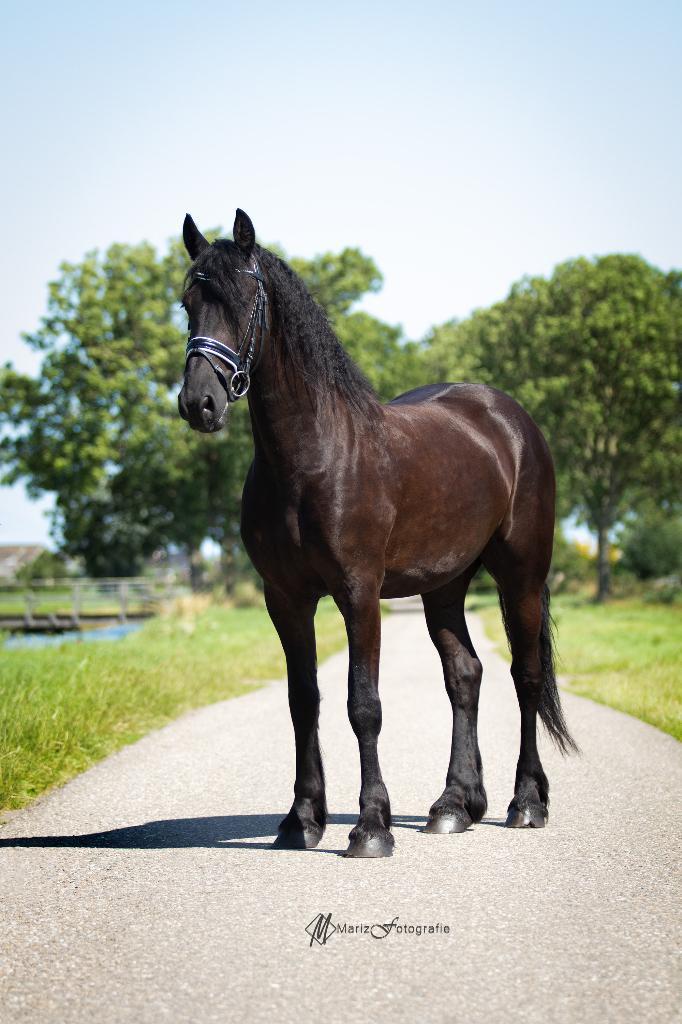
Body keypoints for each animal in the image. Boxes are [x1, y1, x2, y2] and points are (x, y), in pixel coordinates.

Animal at [177, 209, 576, 859]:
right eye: (188, 302)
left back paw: (526, 803)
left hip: (521, 575)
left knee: (526, 676)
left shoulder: (359, 594)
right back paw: (455, 805)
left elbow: (363, 705)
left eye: (245, 300)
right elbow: (303, 701)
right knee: (465, 675)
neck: (312, 458)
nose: (199, 403)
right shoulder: (285, 599)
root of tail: (510, 419)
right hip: (444, 586)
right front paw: (301, 820)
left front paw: (370, 828)